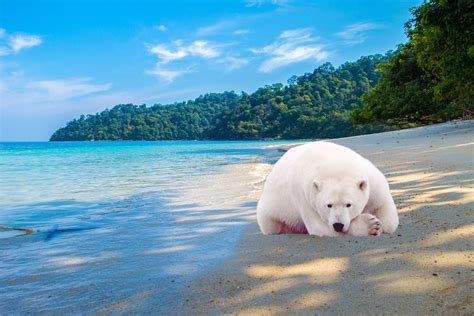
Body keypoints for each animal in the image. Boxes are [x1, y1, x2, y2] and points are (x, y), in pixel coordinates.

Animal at [258, 142, 398, 236]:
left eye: (349, 204)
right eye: (329, 205)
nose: (338, 225)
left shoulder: (373, 182)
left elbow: (386, 210)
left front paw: (380, 225)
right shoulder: (305, 197)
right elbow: (319, 227)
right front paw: (371, 225)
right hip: (271, 212)